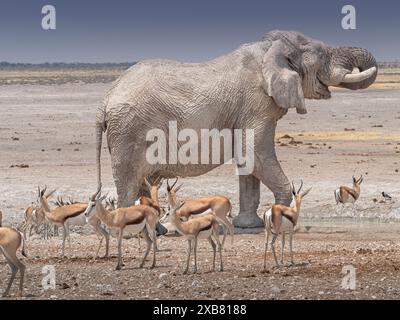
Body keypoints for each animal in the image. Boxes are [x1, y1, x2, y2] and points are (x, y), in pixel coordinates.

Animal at [95, 30, 376, 228]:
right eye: (322, 54)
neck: (270, 48)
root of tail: (105, 99)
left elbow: (248, 160)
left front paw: (248, 225)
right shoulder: (256, 102)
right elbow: (253, 153)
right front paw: (282, 216)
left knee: (142, 182)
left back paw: (158, 230)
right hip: (129, 130)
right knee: (129, 181)